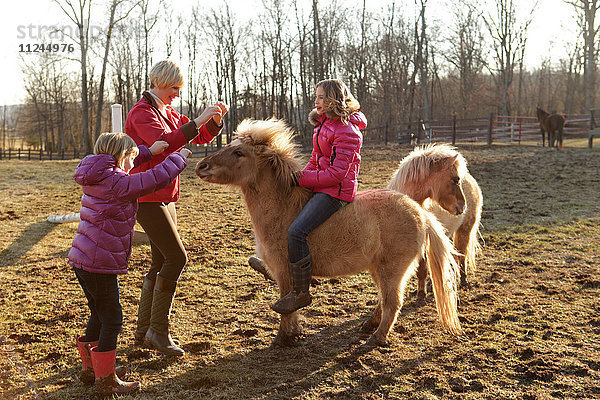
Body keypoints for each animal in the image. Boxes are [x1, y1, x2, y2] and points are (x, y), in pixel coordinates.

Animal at [195, 119, 462, 346]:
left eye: (239, 153)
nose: (201, 166)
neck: (283, 206)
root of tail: (420, 212)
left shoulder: (284, 272)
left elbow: (287, 306)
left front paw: (283, 339)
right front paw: (293, 335)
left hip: (392, 269)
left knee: (392, 302)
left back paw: (377, 337)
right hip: (381, 269)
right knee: (385, 300)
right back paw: (369, 326)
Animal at [390, 142, 482, 302]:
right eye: (455, 179)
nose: (462, 206)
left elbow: (422, 269)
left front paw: (421, 295)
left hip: (465, 230)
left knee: (462, 255)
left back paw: (463, 280)